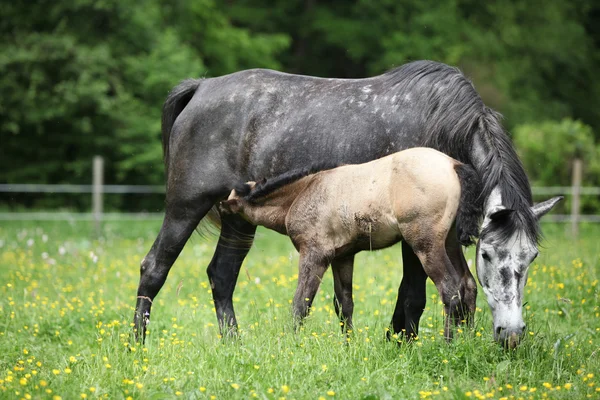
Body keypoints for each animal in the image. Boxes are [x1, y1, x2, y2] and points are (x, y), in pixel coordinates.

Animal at [134, 59, 560, 346]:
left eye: (531, 258)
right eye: (487, 254)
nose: (510, 334)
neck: (442, 122)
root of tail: (201, 88)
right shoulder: (416, 240)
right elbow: (415, 294)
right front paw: (401, 344)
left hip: (240, 219)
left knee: (222, 276)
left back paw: (234, 345)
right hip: (185, 207)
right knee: (154, 268)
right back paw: (137, 345)